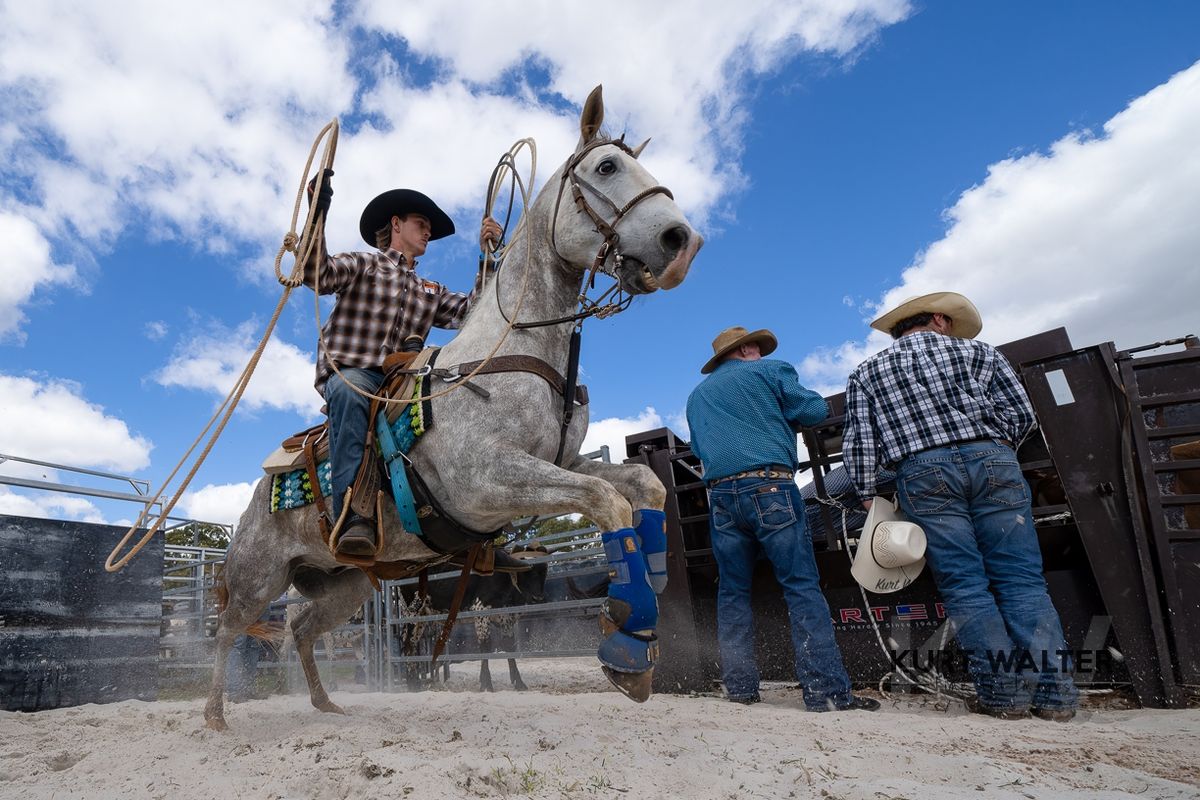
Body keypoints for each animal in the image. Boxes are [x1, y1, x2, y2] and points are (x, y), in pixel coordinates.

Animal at [202, 89, 700, 734]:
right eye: (607, 167)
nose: (681, 241)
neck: (512, 352)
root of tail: (259, 491)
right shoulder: (487, 481)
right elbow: (606, 500)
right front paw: (628, 644)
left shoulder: (562, 462)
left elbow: (642, 484)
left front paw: (646, 599)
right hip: (257, 576)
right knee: (227, 631)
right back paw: (216, 714)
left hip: (344, 586)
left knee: (300, 626)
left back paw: (324, 702)